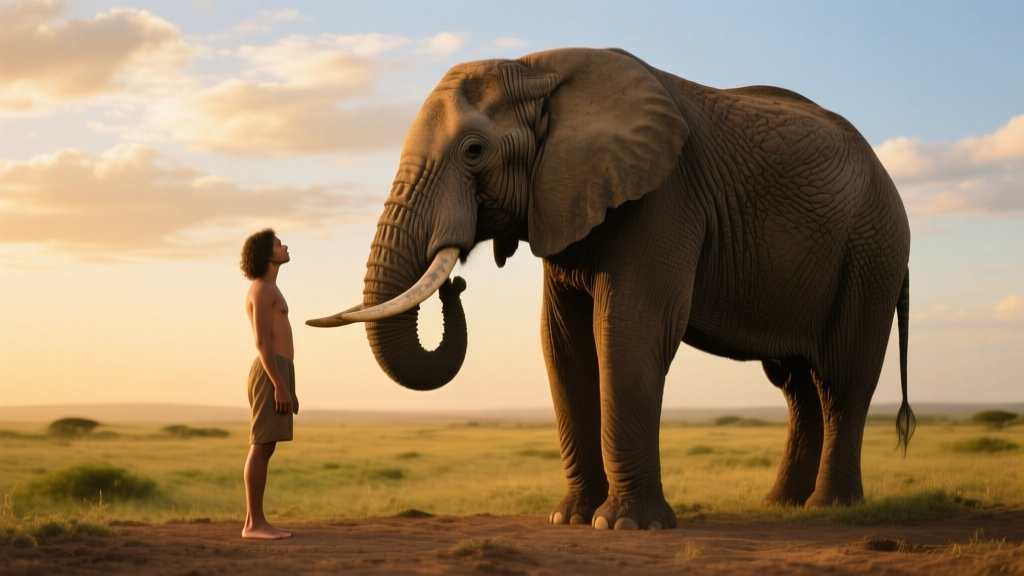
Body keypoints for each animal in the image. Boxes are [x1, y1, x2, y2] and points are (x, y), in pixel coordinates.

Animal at [308, 47, 915, 530]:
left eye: (474, 150)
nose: (455, 283)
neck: (539, 68)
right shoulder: (563, 198)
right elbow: (563, 344)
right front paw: (571, 518)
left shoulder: (663, 196)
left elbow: (628, 331)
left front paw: (626, 526)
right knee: (794, 385)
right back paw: (780, 505)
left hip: (872, 252)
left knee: (841, 380)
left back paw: (830, 508)